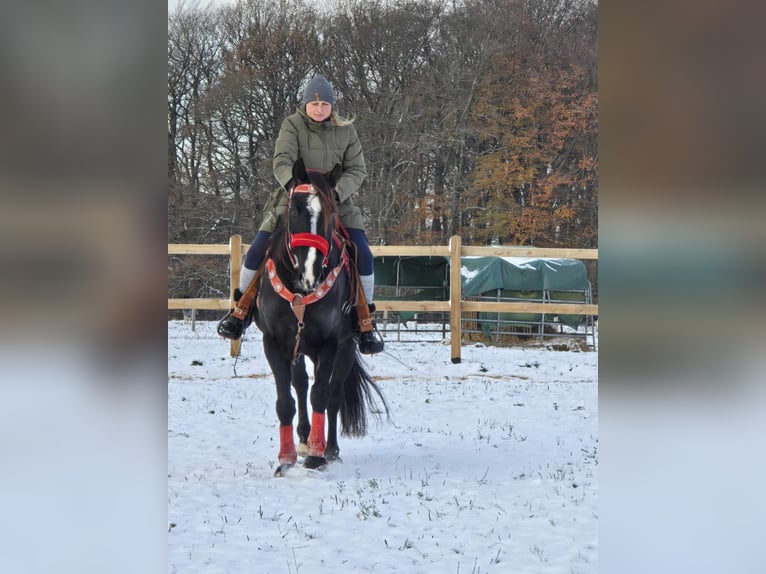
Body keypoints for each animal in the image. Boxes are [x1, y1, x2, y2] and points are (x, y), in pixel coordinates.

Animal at [256, 159, 390, 476]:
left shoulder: (329, 344)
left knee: (333, 394)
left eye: (330, 212)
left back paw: (329, 449)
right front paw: (286, 459)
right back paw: (304, 440)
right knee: (301, 385)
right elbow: (286, 401)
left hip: (345, 347)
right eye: (294, 209)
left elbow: (322, 395)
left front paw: (317, 456)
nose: (310, 271)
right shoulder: (275, 343)